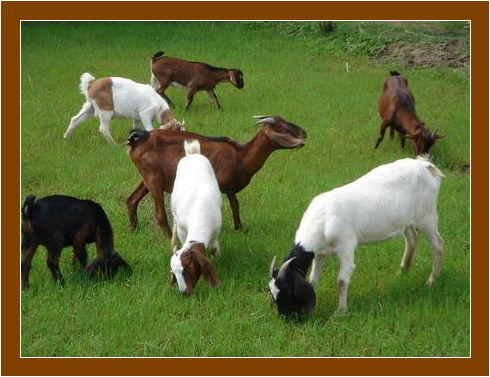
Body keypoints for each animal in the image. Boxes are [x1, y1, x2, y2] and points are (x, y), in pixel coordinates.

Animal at [125, 116, 306, 236]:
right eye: (283, 128)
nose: (304, 133)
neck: (241, 156)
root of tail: (136, 140)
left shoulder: (230, 188)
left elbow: (235, 205)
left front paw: (239, 228)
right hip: (154, 179)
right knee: (159, 214)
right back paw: (169, 238)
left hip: (147, 178)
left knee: (131, 200)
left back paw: (134, 229)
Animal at [169, 140, 221, 296]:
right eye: (174, 272)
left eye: (190, 267)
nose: (185, 292)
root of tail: (192, 154)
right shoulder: (182, 230)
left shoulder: (216, 230)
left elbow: (214, 247)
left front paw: (216, 257)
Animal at [268, 155, 444, 318]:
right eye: (273, 294)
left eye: (288, 291)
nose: (286, 317)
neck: (323, 219)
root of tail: (425, 165)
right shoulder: (320, 254)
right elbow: (313, 279)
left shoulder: (346, 246)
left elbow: (341, 281)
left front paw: (340, 312)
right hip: (406, 220)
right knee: (412, 238)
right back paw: (403, 270)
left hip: (427, 216)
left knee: (438, 244)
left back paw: (431, 281)